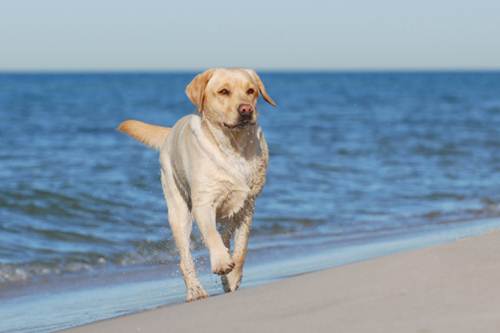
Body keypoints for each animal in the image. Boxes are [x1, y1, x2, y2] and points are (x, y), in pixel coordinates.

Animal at [118, 68, 276, 300]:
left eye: (251, 91)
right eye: (223, 91)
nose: (246, 109)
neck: (234, 146)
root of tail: (171, 131)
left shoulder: (247, 205)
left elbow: (241, 247)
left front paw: (233, 276)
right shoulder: (203, 204)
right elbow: (211, 235)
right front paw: (221, 262)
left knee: (226, 236)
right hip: (178, 211)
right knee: (185, 259)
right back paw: (195, 290)